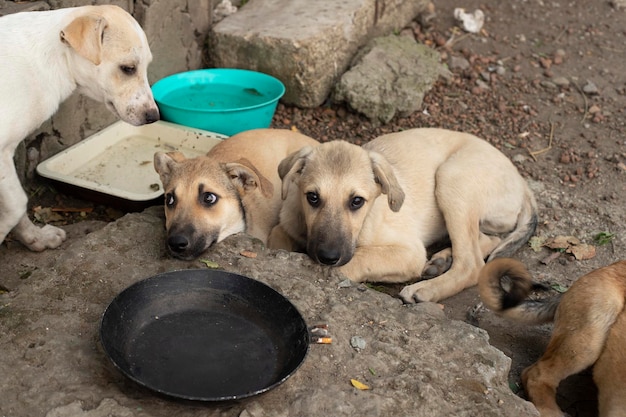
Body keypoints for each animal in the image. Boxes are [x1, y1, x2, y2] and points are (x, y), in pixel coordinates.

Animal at [0, 5, 158, 250]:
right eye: (128, 68)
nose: (154, 116)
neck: (54, 56)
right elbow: (17, 203)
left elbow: (17, 206)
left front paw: (36, 238)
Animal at [266, 127, 532, 302]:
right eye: (312, 197)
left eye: (356, 201)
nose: (327, 256)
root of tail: (522, 181)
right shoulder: (286, 225)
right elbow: (275, 239)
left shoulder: (409, 252)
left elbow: (357, 260)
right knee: (488, 240)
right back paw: (441, 260)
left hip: (452, 178)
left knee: (472, 263)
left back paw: (425, 290)